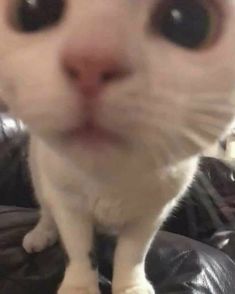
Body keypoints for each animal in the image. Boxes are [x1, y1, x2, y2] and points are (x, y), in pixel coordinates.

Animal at [0, 0, 235, 294]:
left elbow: (132, 253)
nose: (91, 62)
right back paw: (41, 234)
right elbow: (78, 250)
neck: (110, 178)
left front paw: (130, 286)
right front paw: (79, 286)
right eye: (32, 11)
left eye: (188, 22)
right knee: (46, 210)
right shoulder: (68, 203)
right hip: (38, 174)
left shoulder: (152, 213)